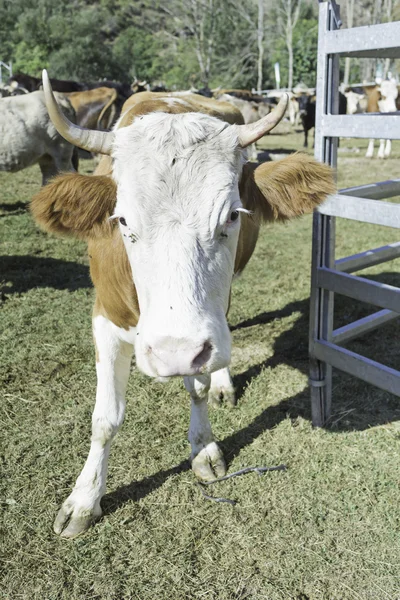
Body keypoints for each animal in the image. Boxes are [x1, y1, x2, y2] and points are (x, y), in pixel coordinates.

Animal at [30, 70, 334, 540]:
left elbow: (199, 388)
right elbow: (105, 418)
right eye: (122, 220)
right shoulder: (103, 318)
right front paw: (84, 498)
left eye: (232, 215)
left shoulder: (205, 335)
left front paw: (204, 447)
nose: (174, 354)